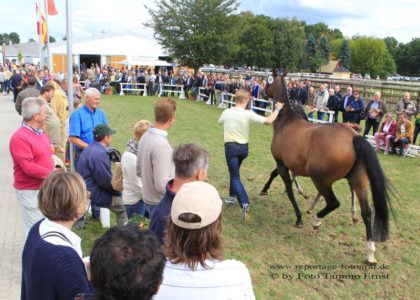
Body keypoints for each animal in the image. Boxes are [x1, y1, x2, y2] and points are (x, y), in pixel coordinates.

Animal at [266, 71, 394, 262]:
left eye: (268, 80)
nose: (263, 91)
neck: (287, 120)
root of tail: (354, 137)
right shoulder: (289, 165)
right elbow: (278, 177)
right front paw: (265, 190)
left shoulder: (282, 164)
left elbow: (287, 188)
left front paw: (298, 217)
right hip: (358, 181)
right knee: (367, 212)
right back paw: (370, 252)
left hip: (321, 180)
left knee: (334, 202)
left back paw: (316, 219)